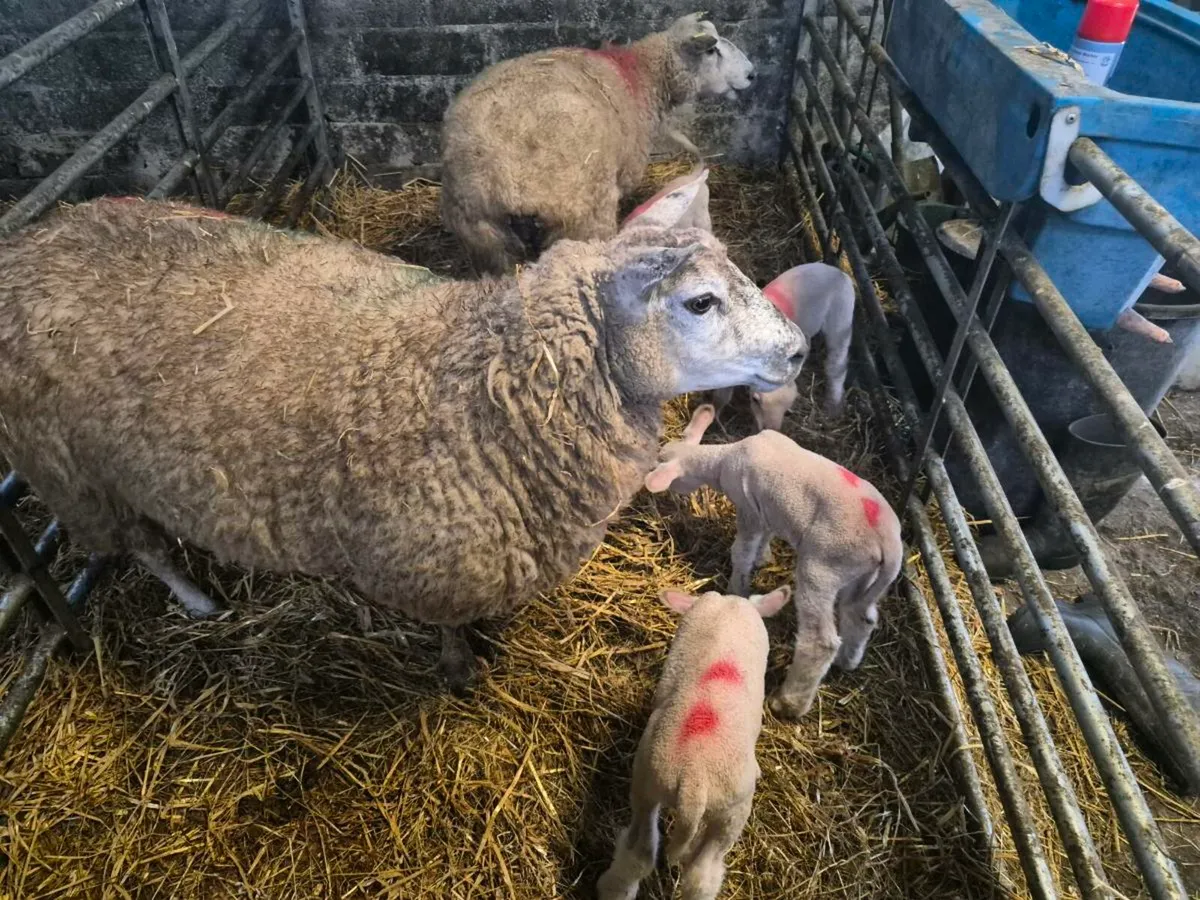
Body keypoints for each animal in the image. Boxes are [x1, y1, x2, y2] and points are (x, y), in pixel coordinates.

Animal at [0, 182, 807, 688]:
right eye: (699, 302)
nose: (799, 350)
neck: (494, 378)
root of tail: (35, 239)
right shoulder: (436, 569)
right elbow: (450, 632)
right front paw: (460, 670)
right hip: (72, 470)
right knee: (138, 545)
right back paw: (198, 603)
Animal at [440, 13, 755, 274]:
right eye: (712, 50)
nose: (752, 74)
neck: (641, 77)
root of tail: (510, 187)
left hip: (485, 241)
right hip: (585, 221)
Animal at [597, 583, 792, 900]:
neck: (729, 610)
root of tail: (693, 779)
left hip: (648, 782)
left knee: (642, 853)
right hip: (732, 811)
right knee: (702, 874)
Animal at [643, 405, 902, 720]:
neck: (723, 458)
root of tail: (888, 544)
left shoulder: (748, 508)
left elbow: (742, 551)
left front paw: (737, 586)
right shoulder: (766, 509)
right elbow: (765, 537)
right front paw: (764, 558)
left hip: (824, 565)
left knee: (820, 641)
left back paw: (789, 703)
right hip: (863, 575)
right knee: (861, 615)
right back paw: (848, 660)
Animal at [711, 262, 855, 428]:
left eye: (788, 409)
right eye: (755, 400)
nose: (770, 430)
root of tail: (838, 271)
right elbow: (722, 393)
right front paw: (716, 417)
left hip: (842, 314)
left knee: (837, 363)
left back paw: (833, 406)